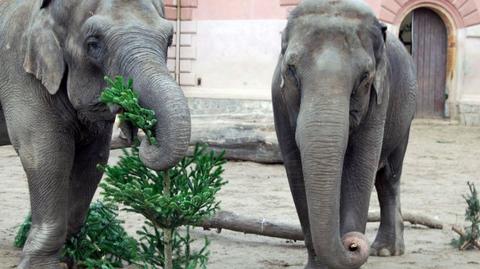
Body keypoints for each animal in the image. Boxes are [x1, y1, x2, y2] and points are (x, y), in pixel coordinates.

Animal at [0, 1, 191, 266]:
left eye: (170, 39)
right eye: (93, 44)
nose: (140, 135)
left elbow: (94, 158)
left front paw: (71, 256)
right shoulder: (18, 69)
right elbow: (46, 155)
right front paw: (38, 265)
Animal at [274, 0, 416, 268]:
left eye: (365, 77)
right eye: (291, 70)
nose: (353, 243)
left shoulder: (381, 97)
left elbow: (360, 167)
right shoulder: (278, 99)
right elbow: (296, 172)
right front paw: (317, 266)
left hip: (406, 118)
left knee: (389, 175)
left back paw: (385, 250)